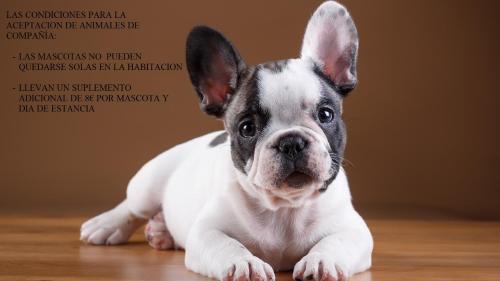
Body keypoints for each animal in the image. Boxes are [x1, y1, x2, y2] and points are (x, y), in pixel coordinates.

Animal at [81, 1, 372, 278]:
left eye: (326, 114)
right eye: (247, 128)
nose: (291, 142)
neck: (285, 208)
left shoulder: (355, 231)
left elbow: (336, 242)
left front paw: (322, 260)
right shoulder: (206, 232)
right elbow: (226, 245)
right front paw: (245, 264)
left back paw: (161, 231)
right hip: (148, 183)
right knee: (132, 208)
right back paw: (105, 225)